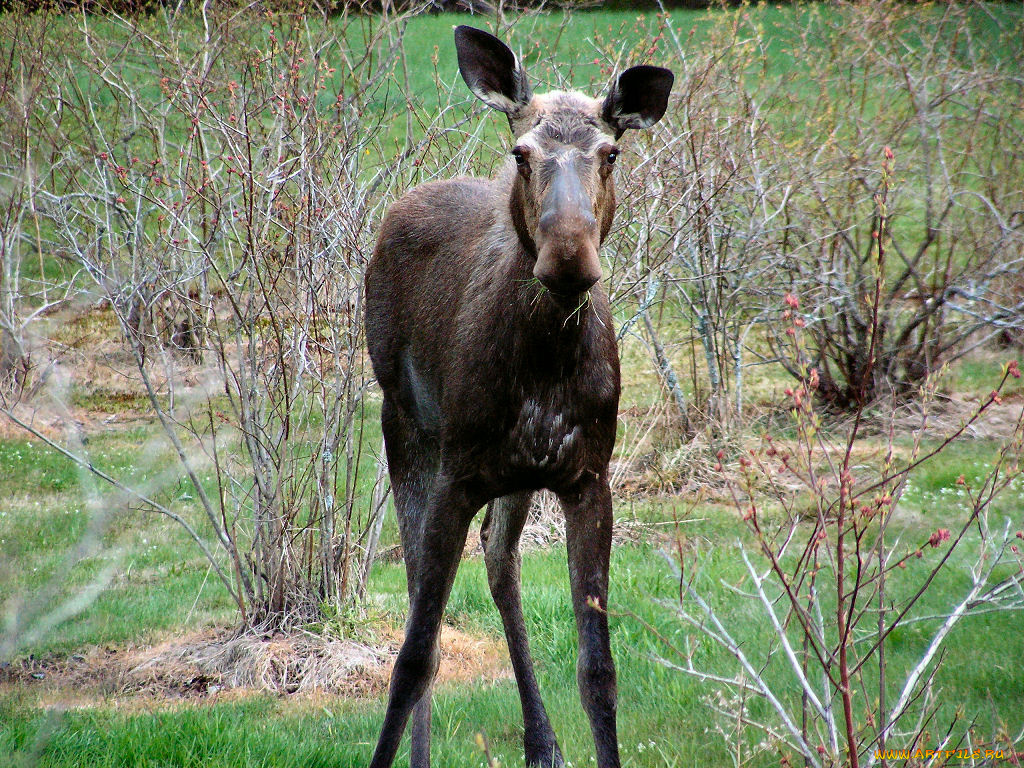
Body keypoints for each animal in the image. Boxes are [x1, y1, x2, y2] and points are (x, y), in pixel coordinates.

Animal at [364, 25, 673, 768]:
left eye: (611, 151)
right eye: (520, 151)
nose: (568, 257)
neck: (543, 367)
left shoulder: (587, 478)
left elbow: (599, 670)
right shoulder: (456, 474)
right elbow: (413, 655)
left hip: (515, 476)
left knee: (500, 564)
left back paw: (542, 741)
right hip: (404, 425)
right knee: (420, 589)